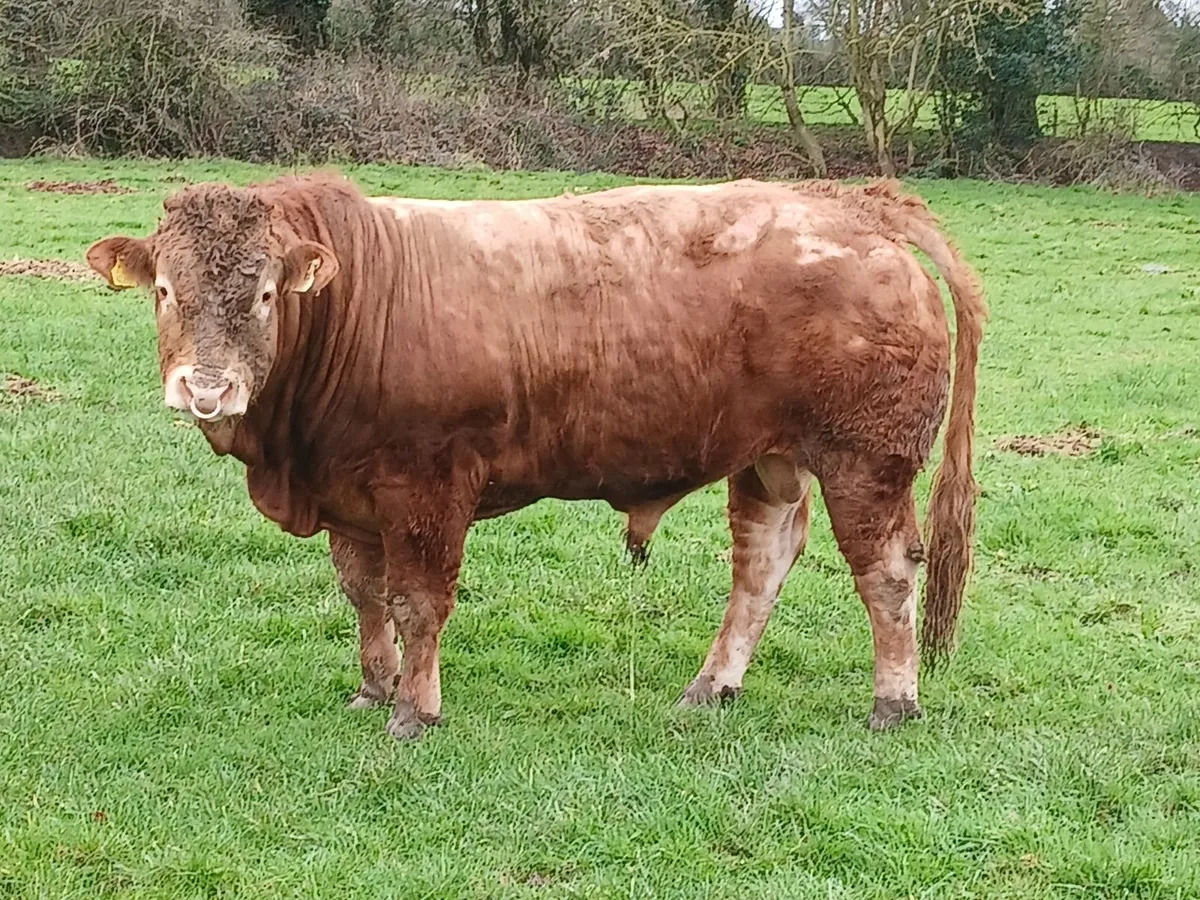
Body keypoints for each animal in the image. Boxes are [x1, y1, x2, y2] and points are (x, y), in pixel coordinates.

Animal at [85, 172, 986, 742]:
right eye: (164, 290)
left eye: (267, 293)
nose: (206, 388)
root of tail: (853, 207)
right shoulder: (350, 496)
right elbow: (365, 596)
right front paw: (372, 688)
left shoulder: (427, 487)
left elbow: (419, 602)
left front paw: (415, 711)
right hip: (769, 459)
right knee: (761, 566)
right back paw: (710, 688)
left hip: (864, 459)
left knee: (886, 573)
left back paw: (893, 702)